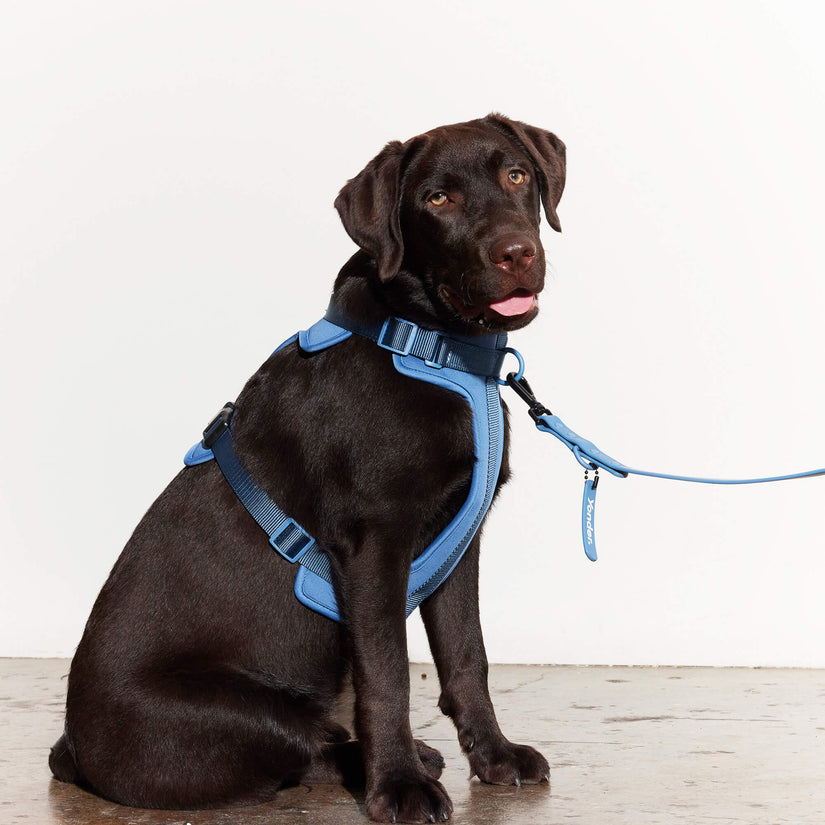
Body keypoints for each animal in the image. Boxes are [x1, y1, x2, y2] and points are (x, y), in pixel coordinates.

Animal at [48, 114, 564, 824]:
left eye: (516, 175)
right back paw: (383, 764)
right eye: (438, 199)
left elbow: (467, 656)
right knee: (299, 747)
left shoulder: (460, 541)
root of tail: (71, 748)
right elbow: (387, 676)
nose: (516, 253)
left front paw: (494, 758)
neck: (432, 347)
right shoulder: (374, 545)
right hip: (233, 712)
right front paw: (396, 788)